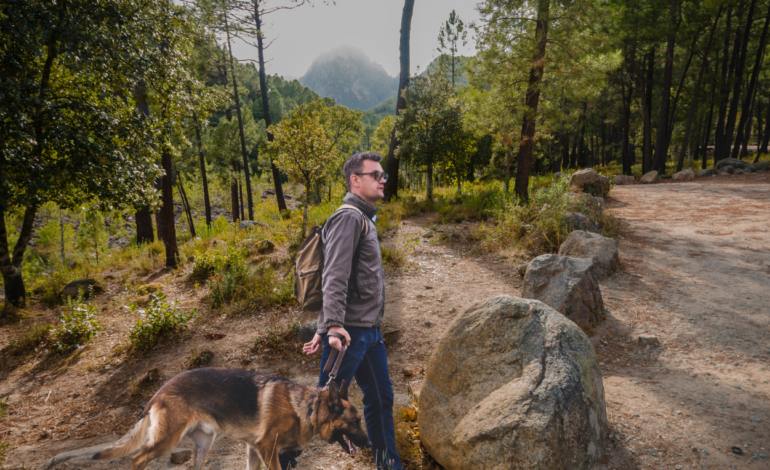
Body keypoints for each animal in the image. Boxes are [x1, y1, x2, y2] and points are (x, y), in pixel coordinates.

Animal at [93, 370, 368, 470]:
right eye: (354, 423)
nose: (368, 444)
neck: (308, 408)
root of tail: (157, 393)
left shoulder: (254, 450)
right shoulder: (267, 449)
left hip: (203, 446)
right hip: (167, 440)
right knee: (138, 458)